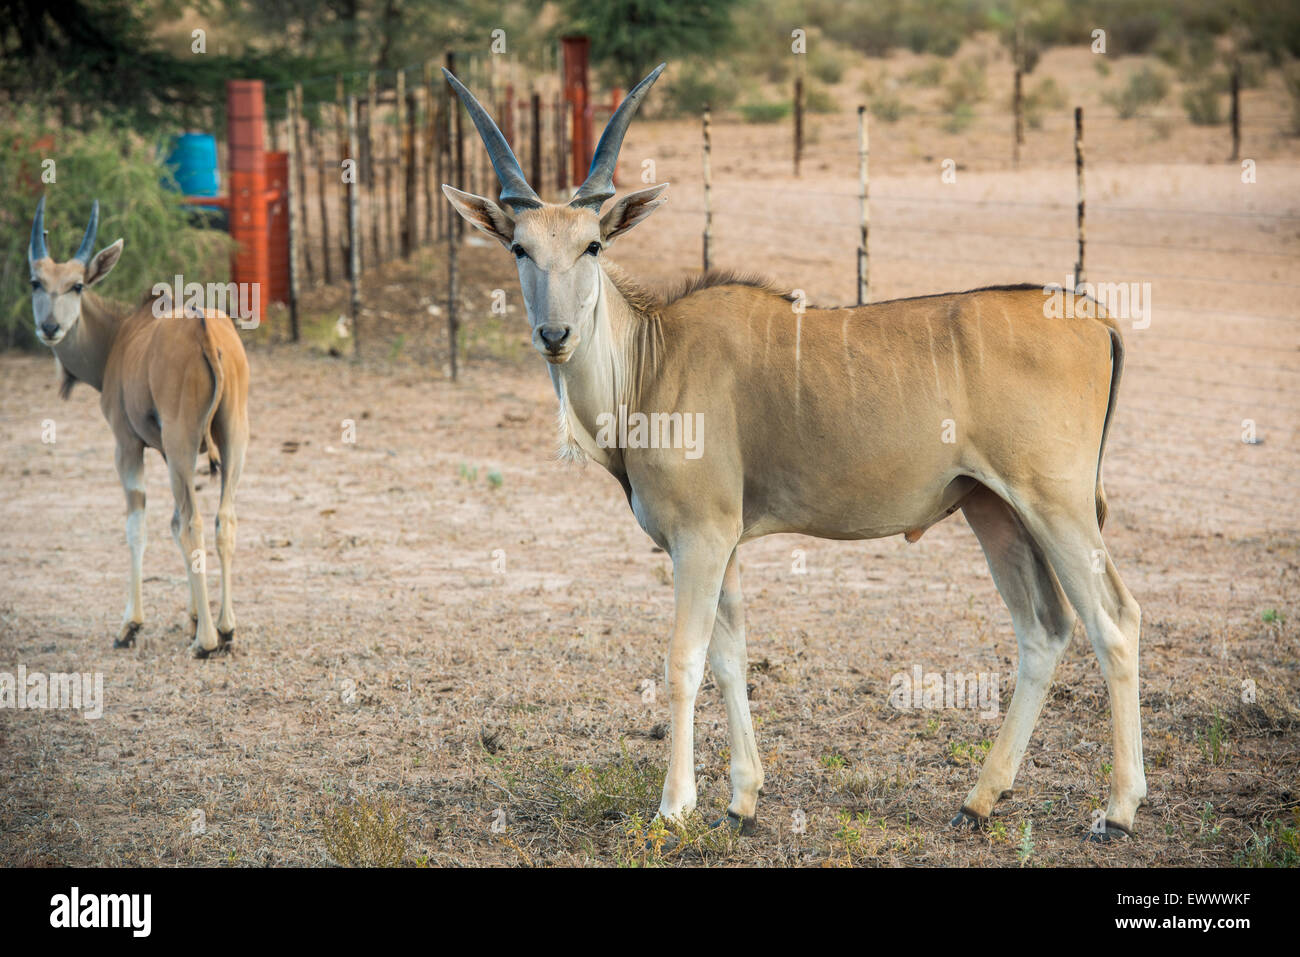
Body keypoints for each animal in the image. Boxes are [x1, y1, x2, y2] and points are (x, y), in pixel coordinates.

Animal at [27, 195, 249, 657]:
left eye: (77, 286)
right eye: (36, 282)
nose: (50, 328)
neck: (119, 336)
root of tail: (205, 331)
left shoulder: (128, 445)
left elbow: (139, 524)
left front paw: (130, 624)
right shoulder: (167, 452)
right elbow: (173, 523)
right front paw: (192, 615)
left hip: (182, 442)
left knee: (196, 522)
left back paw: (205, 642)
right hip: (232, 439)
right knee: (223, 519)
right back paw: (226, 628)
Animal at [444, 67, 1149, 842]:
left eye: (594, 245)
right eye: (519, 249)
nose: (555, 334)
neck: (652, 362)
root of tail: (1095, 319)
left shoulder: (701, 535)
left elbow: (685, 660)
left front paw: (675, 806)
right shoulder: (722, 542)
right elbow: (730, 657)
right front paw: (741, 800)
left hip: (1056, 504)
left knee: (1114, 621)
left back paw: (1118, 810)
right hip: (994, 509)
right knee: (1044, 630)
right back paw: (978, 799)